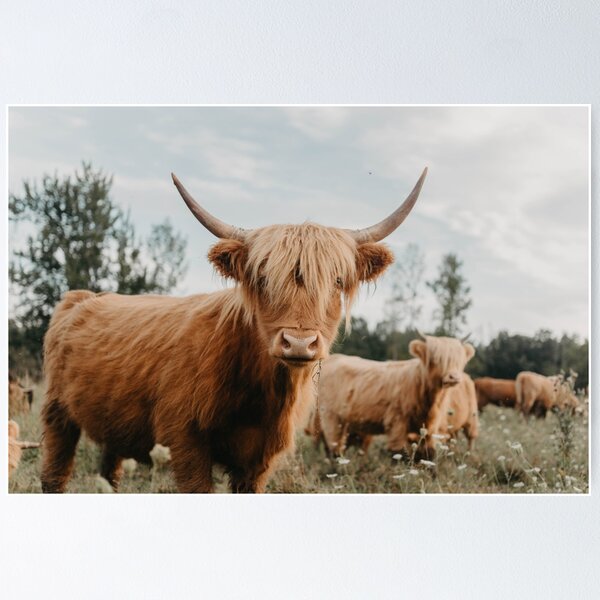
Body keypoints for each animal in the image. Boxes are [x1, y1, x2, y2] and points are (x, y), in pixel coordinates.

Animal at [39, 168, 426, 492]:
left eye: (338, 281)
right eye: (263, 279)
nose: (299, 343)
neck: (259, 391)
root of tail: (83, 296)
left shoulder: (259, 461)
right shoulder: (187, 443)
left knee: (110, 472)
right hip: (57, 411)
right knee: (55, 472)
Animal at [314, 336, 474, 458]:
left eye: (460, 361)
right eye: (436, 359)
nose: (453, 377)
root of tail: (333, 358)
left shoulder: (430, 426)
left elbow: (429, 454)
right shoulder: (397, 422)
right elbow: (398, 453)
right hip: (331, 417)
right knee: (334, 447)